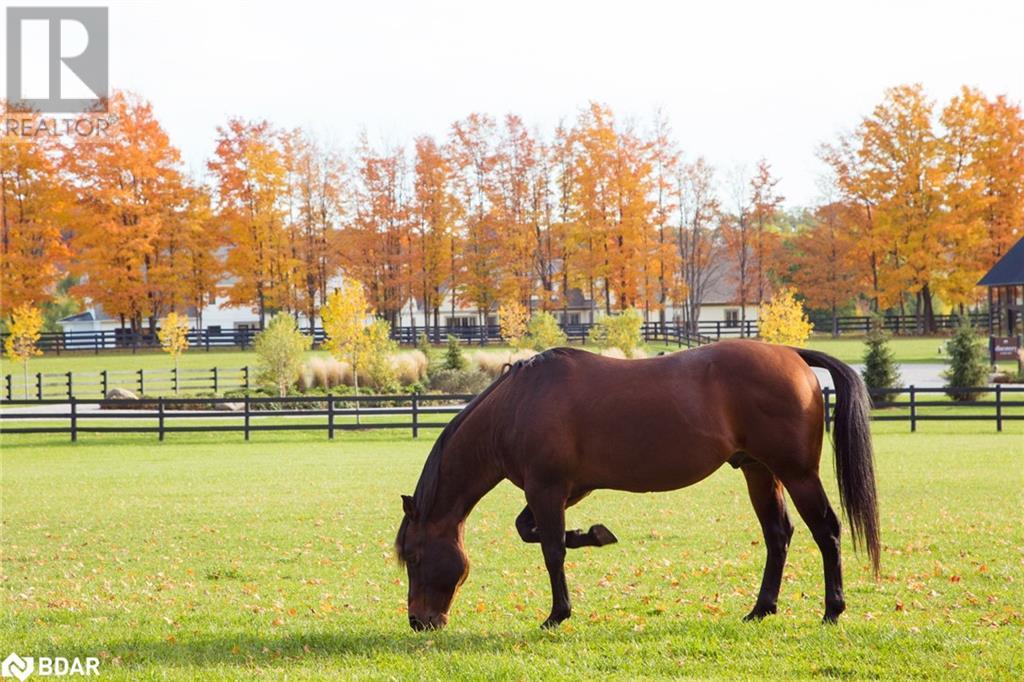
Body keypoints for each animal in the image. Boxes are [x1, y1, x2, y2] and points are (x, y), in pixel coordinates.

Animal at [395, 342, 876, 630]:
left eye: (415, 557)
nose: (419, 620)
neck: (517, 405)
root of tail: (790, 353)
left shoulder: (547, 489)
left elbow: (550, 549)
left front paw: (557, 614)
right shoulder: (565, 490)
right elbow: (532, 531)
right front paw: (593, 535)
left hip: (797, 474)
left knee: (827, 531)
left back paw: (832, 610)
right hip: (758, 471)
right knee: (778, 536)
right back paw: (761, 609)